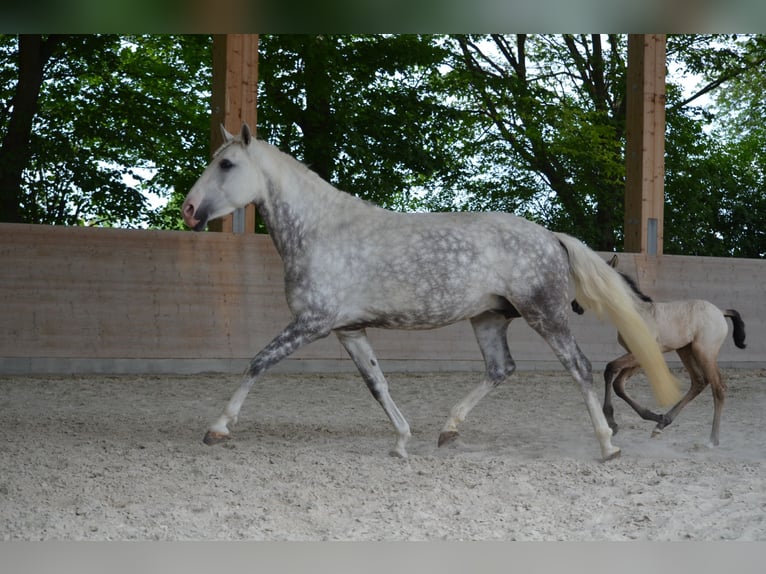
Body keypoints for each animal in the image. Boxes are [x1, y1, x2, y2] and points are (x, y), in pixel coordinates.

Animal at [182, 125, 680, 464]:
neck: (322, 231)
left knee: (578, 366)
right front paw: (402, 441)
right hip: (488, 319)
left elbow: (258, 362)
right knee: (501, 369)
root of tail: (551, 236)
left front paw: (218, 428)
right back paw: (448, 430)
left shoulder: (312, 324)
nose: (187, 210)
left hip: (546, 315)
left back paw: (608, 444)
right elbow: (377, 384)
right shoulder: (348, 331)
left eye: (226, 165)